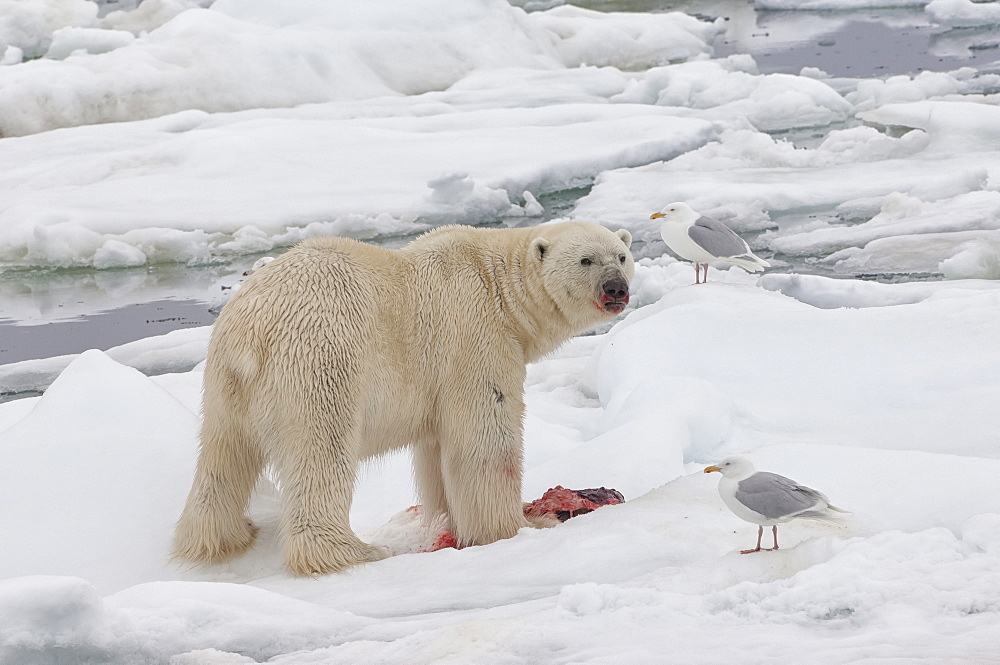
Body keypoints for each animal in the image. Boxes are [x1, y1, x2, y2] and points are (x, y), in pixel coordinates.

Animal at [168, 220, 628, 572]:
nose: (616, 288)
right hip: (320, 364)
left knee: (223, 456)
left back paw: (222, 537)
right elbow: (485, 440)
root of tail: (248, 331)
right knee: (321, 452)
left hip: (223, 386)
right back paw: (353, 551)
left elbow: (436, 450)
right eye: (586, 260)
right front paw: (520, 526)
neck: (496, 283)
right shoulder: (474, 335)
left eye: (621, 256)